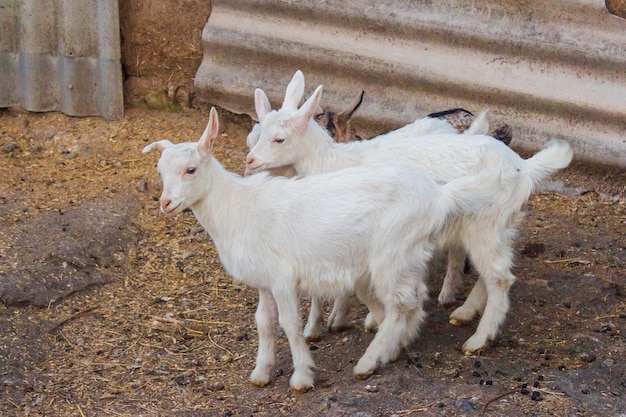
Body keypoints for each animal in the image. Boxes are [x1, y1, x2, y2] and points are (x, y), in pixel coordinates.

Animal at [141, 106, 498, 390]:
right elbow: (264, 323)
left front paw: (301, 376)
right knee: (412, 301)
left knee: (401, 305)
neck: (236, 206)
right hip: (405, 257)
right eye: (159, 171)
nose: (166, 203)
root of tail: (435, 198)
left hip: (391, 254)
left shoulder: (283, 278)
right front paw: (261, 372)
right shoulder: (264, 281)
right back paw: (395, 346)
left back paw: (369, 361)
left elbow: (289, 324)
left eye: (191, 170)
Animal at [245, 72, 576, 354]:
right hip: (499, 227)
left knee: (500, 278)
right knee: (492, 272)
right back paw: (465, 312)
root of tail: (524, 168)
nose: (249, 161)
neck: (332, 162)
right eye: (256, 135)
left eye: (279, 139)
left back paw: (478, 339)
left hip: (486, 225)